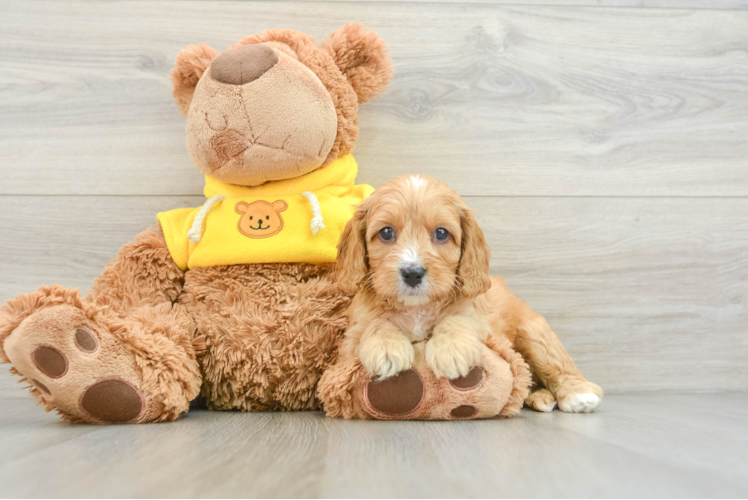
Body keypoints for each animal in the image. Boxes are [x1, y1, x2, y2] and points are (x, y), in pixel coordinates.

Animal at [336, 174, 604, 412]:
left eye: (441, 233)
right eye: (386, 232)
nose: (412, 273)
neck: (418, 308)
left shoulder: (483, 323)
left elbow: (458, 319)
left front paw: (451, 350)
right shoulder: (351, 339)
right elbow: (375, 324)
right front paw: (386, 348)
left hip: (533, 333)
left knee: (557, 364)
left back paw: (578, 394)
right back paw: (539, 397)